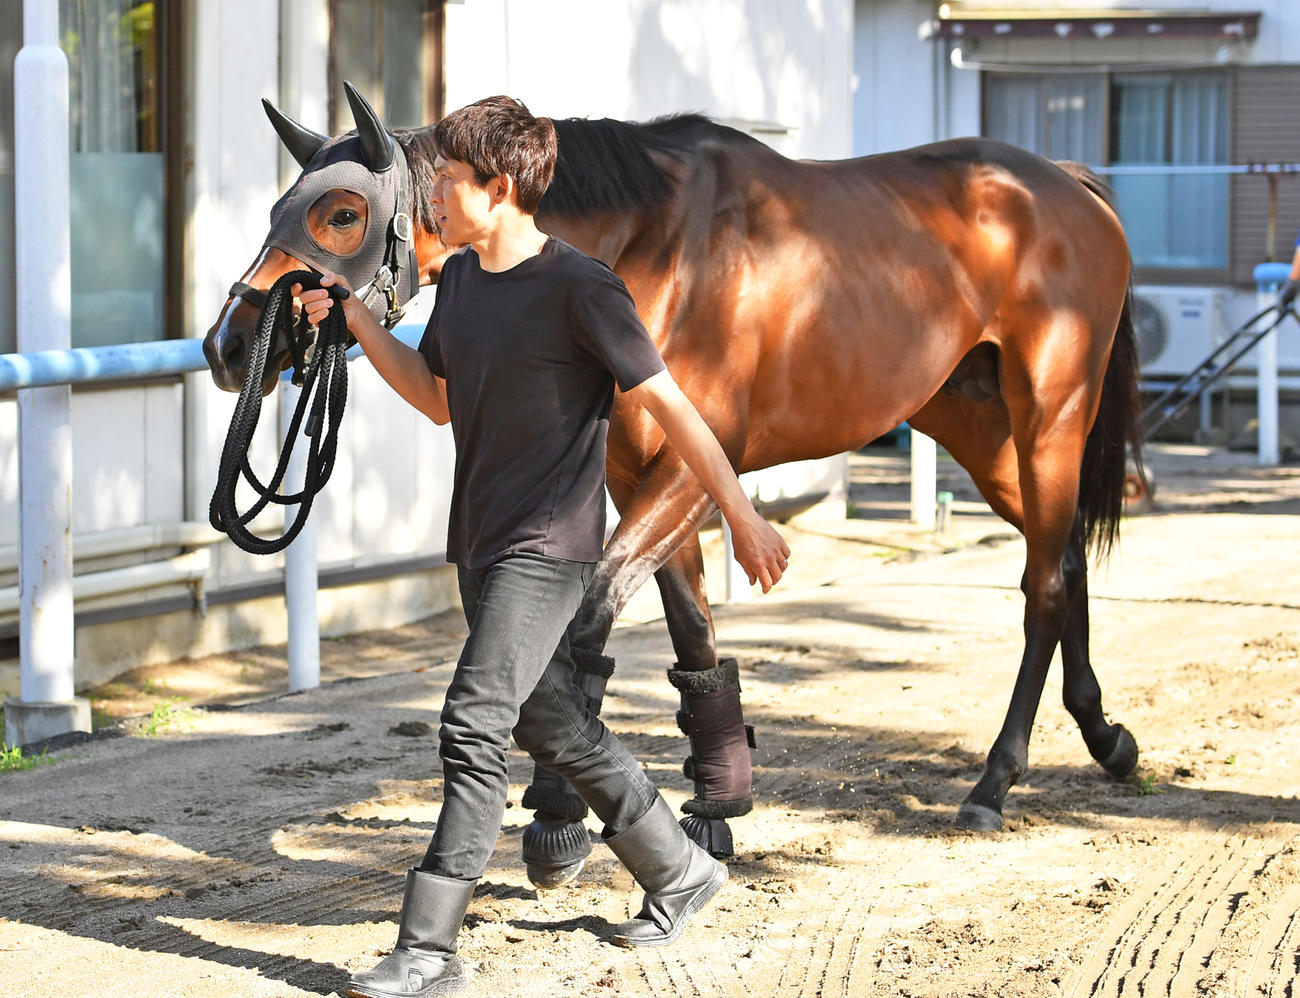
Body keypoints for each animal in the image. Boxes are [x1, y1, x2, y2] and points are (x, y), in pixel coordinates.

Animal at [203, 85, 1144, 885]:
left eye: (342, 212)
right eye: (279, 209)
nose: (228, 342)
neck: (650, 247)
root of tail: (1064, 184)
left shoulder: (699, 460)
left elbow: (588, 617)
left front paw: (557, 816)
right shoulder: (637, 473)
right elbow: (692, 633)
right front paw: (718, 807)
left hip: (1051, 415)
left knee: (1042, 587)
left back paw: (994, 784)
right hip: (979, 428)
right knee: (1064, 562)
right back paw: (1106, 737)